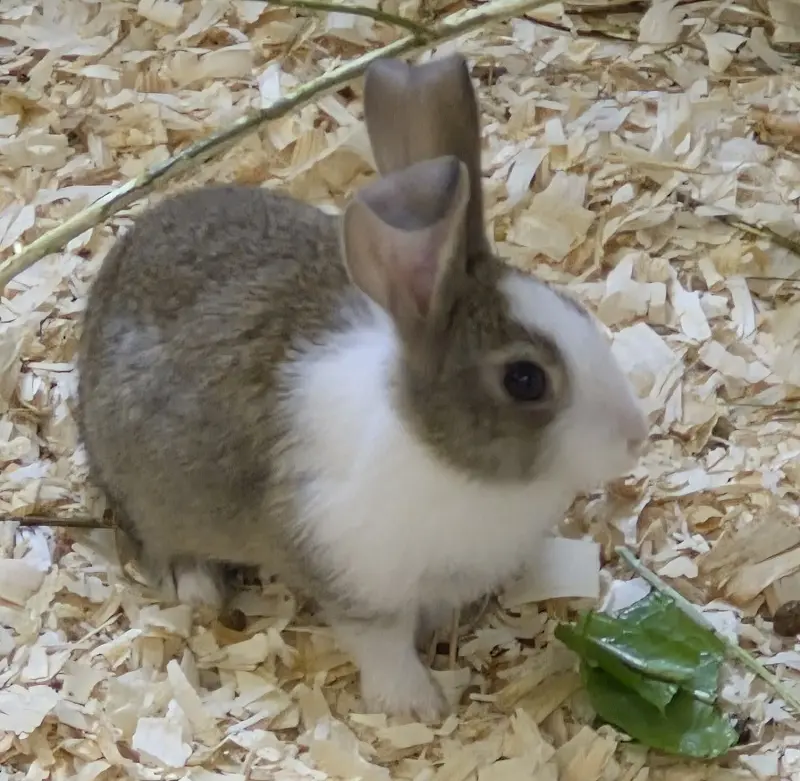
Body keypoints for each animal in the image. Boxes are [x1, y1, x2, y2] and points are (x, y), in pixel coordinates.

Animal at [75, 52, 649, 722]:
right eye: (525, 380)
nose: (635, 436)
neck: (439, 456)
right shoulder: (355, 576)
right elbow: (381, 643)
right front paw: (419, 706)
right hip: (152, 492)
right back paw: (199, 589)